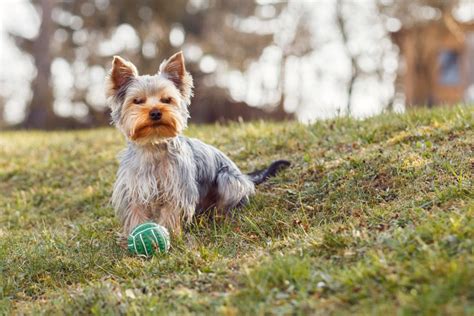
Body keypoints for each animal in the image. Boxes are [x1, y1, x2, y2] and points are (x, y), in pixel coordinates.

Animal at [106, 52, 290, 239]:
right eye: (137, 101)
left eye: (167, 100)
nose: (156, 112)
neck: (153, 144)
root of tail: (245, 177)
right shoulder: (134, 189)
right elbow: (136, 213)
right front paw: (136, 234)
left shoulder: (178, 188)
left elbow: (171, 212)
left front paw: (170, 235)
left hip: (228, 179)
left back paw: (219, 218)